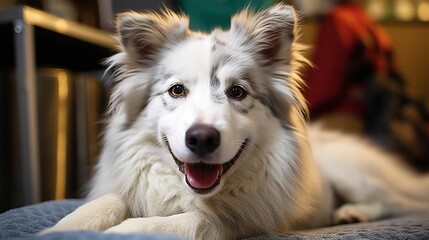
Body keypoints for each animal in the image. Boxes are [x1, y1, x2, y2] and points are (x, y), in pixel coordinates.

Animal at [40, 4, 428, 240]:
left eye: (238, 92)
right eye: (177, 90)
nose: (201, 138)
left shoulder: (234, 222)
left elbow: (183, 222)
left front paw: (121, 230)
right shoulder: (130, 186)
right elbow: (106, 203)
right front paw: (61, 229)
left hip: (350, 173)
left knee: (394, 203)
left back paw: (351, 213)